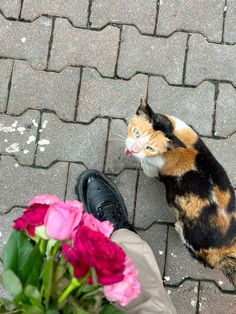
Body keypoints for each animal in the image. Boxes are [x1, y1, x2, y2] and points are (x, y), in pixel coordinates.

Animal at [126, 98, 236, 288]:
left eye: (150, 148)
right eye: (136, 132)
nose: (133, 149)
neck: (171, 131)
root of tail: (225, 248)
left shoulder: (151, 167)